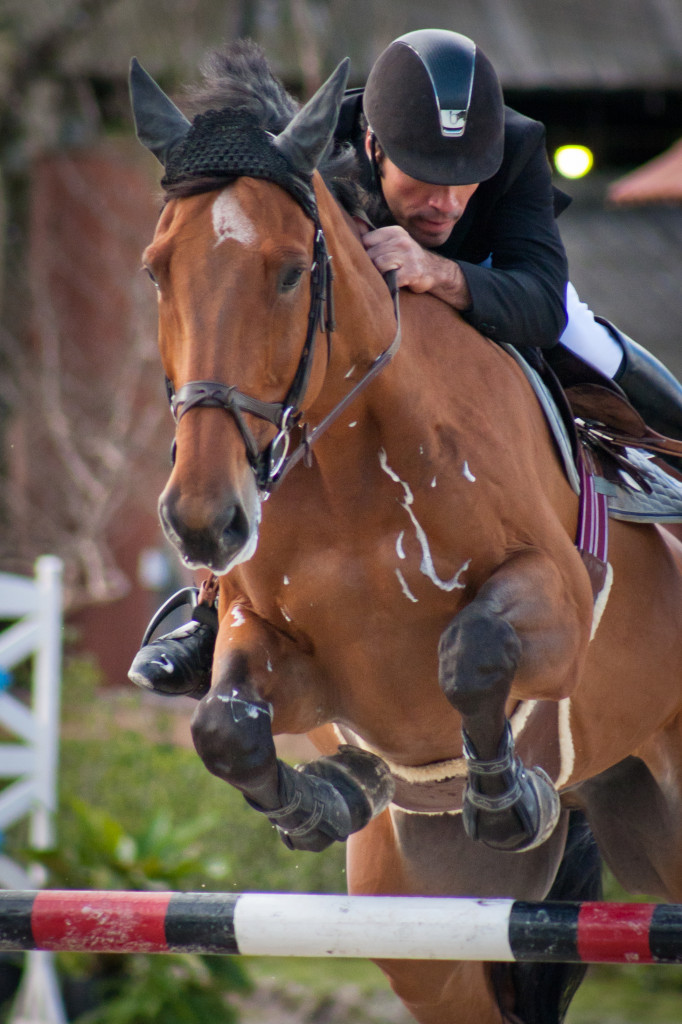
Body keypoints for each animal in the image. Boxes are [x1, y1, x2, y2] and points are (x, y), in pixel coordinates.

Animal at [129, 41, 682, 1024]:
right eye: (159, 269)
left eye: (289, 271)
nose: (203, 520)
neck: (352, 477)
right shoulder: (283, 651)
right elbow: (225, 726)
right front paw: (331, 797)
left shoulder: (557, 606)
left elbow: (473, 652)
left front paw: (507, 799)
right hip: (442, 922)